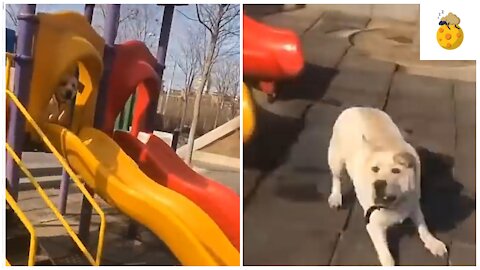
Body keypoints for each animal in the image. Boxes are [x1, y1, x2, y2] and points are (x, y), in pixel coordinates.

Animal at [326, 106, 446, 264]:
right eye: (374, 169)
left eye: (396, 170)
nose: (378, 183)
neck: (394, 204)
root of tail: (357, 107)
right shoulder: (373, 225)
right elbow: (387, 255)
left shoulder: (413, 204)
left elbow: (423, 226)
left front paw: (433, 243)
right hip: (336, 159)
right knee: (336, 178)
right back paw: (336, 196)